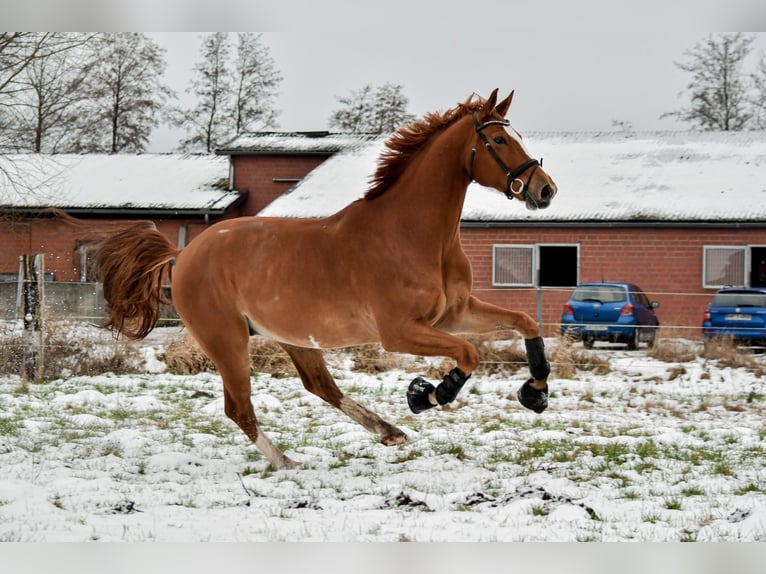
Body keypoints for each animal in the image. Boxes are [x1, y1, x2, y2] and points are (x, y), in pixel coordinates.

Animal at [99, 88, 560, 470]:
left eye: (516, 135)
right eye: (498, 141)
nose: (545, 190)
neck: (412, 234)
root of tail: (183, 254)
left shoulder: (455, 313)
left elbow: (525, 322)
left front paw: (535, 391)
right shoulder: (399, 331)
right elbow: (468, 354)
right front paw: (424, 394)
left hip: (294, 338)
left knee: (320, 386)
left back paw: (388, 432)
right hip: (226, 340)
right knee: (240, 407)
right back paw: (287, 462)